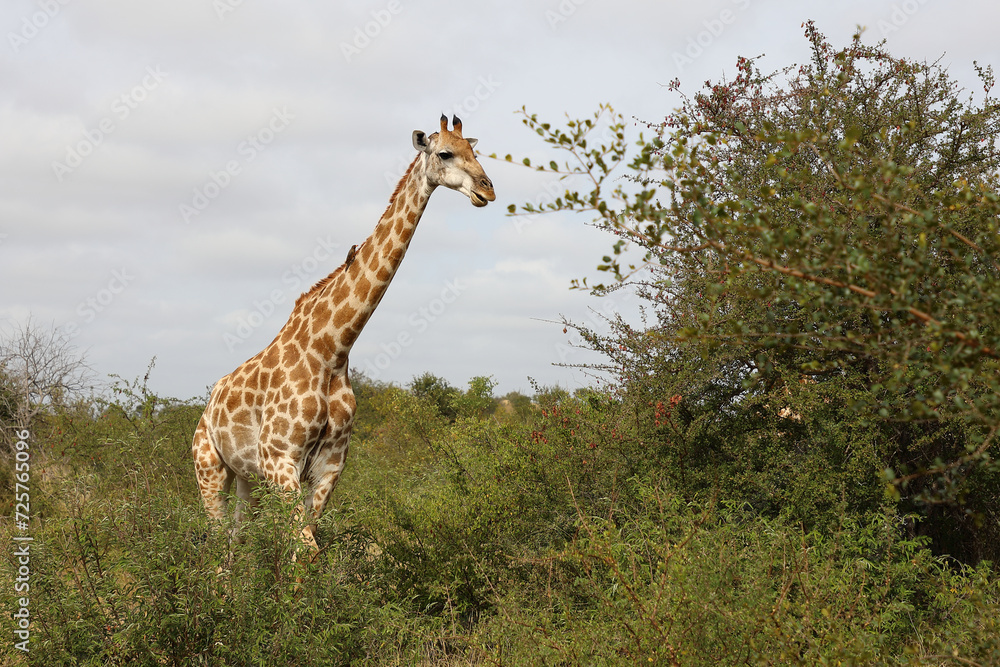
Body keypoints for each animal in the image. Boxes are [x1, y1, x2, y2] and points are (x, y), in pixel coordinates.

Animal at [191, 115, 495, 558]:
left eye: (476, 151)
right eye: (445, 153)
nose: (487, 189)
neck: (332, 349)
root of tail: (209, 404)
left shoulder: (328, 467)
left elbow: (306, 545)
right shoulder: (280, 459)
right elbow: (306, 551)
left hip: (247, 479)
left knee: (237, 541)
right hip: (210, 468)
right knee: (217, 545)